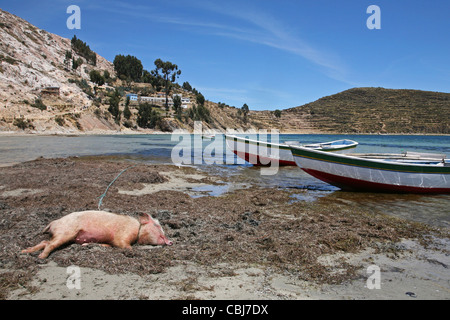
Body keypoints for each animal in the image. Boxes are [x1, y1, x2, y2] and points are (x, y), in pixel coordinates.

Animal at [21, 210, 173, 260]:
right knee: (50, 244)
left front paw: (86, 244)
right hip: (65, 232)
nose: (171, 241)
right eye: (157, 226)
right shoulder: (123, 235)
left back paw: (25, 251)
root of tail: (54, 222)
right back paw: (41, 257)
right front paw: (132, 250)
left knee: (44, 242)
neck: (138, 229)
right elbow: (125, 245)